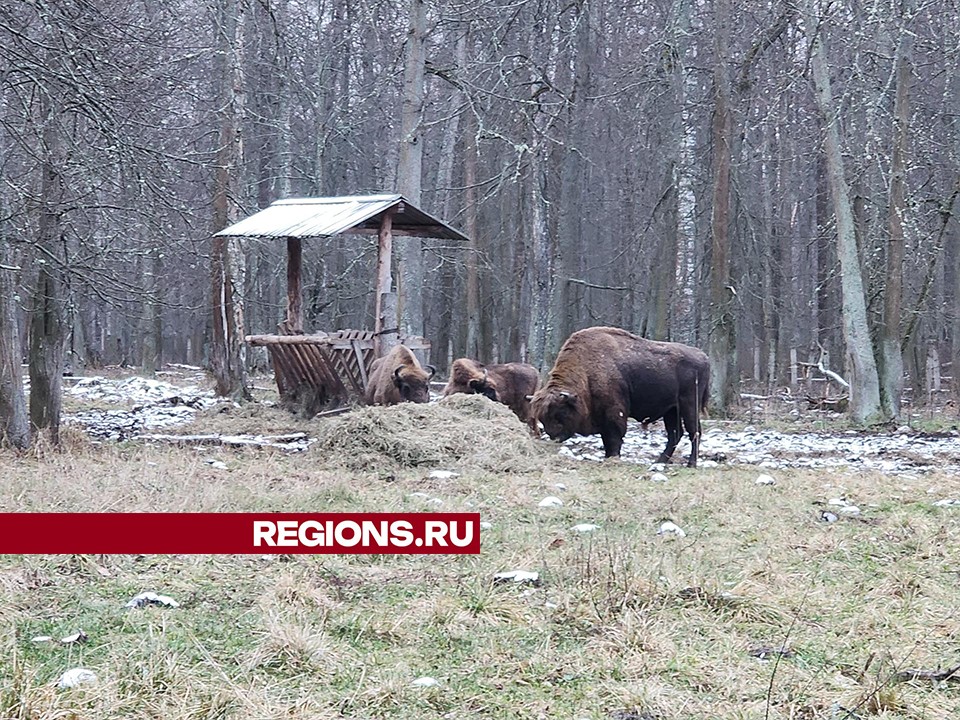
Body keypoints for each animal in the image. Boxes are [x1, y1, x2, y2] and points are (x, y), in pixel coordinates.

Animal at [528, 326, 708, 466]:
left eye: (560, 412)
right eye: (542, 417)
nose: (554, 437)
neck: (586, 374)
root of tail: (703, 356)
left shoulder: (614, 413)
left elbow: (614, 437)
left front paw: (613, 457)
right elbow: (606, 438)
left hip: (689, 405)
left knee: (694, 432)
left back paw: (691, 464)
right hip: (670, 410)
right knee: (675, 434)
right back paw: (660, 461)